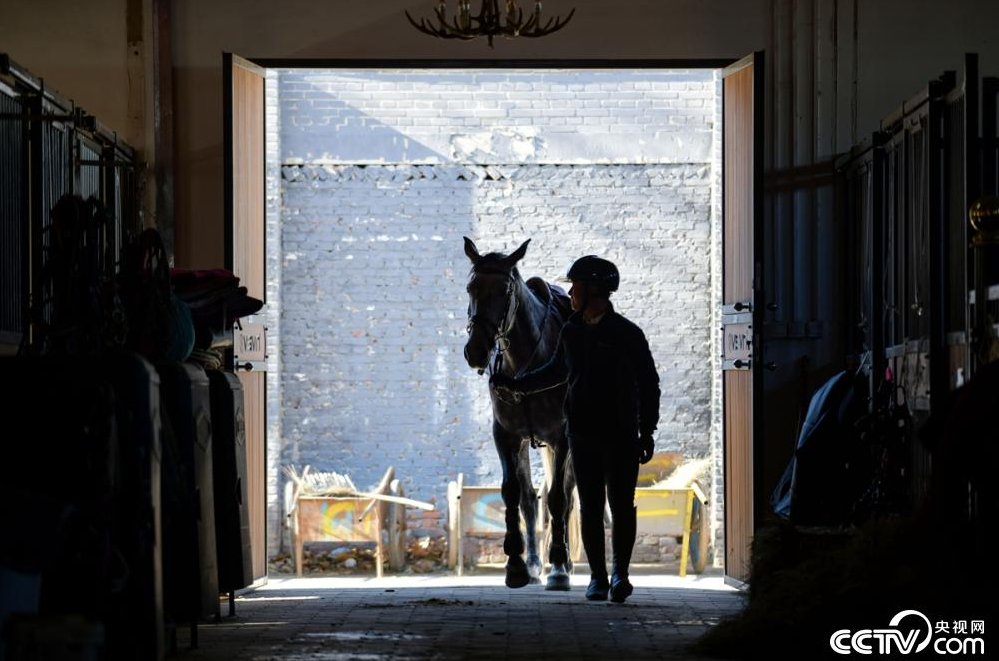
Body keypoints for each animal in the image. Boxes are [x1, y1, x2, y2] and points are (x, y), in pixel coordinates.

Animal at [462, 236, 580, 588]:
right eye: (470, 287)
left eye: (505, 291)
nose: (476, 351)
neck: (524, 370)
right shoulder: (507, 436)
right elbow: (514, 493)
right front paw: (515, 564)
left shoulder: (561, 437)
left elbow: (558, 499)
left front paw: (559, 566)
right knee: (530, 498)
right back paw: (534, 563)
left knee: (566, 497)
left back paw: (563, 563)